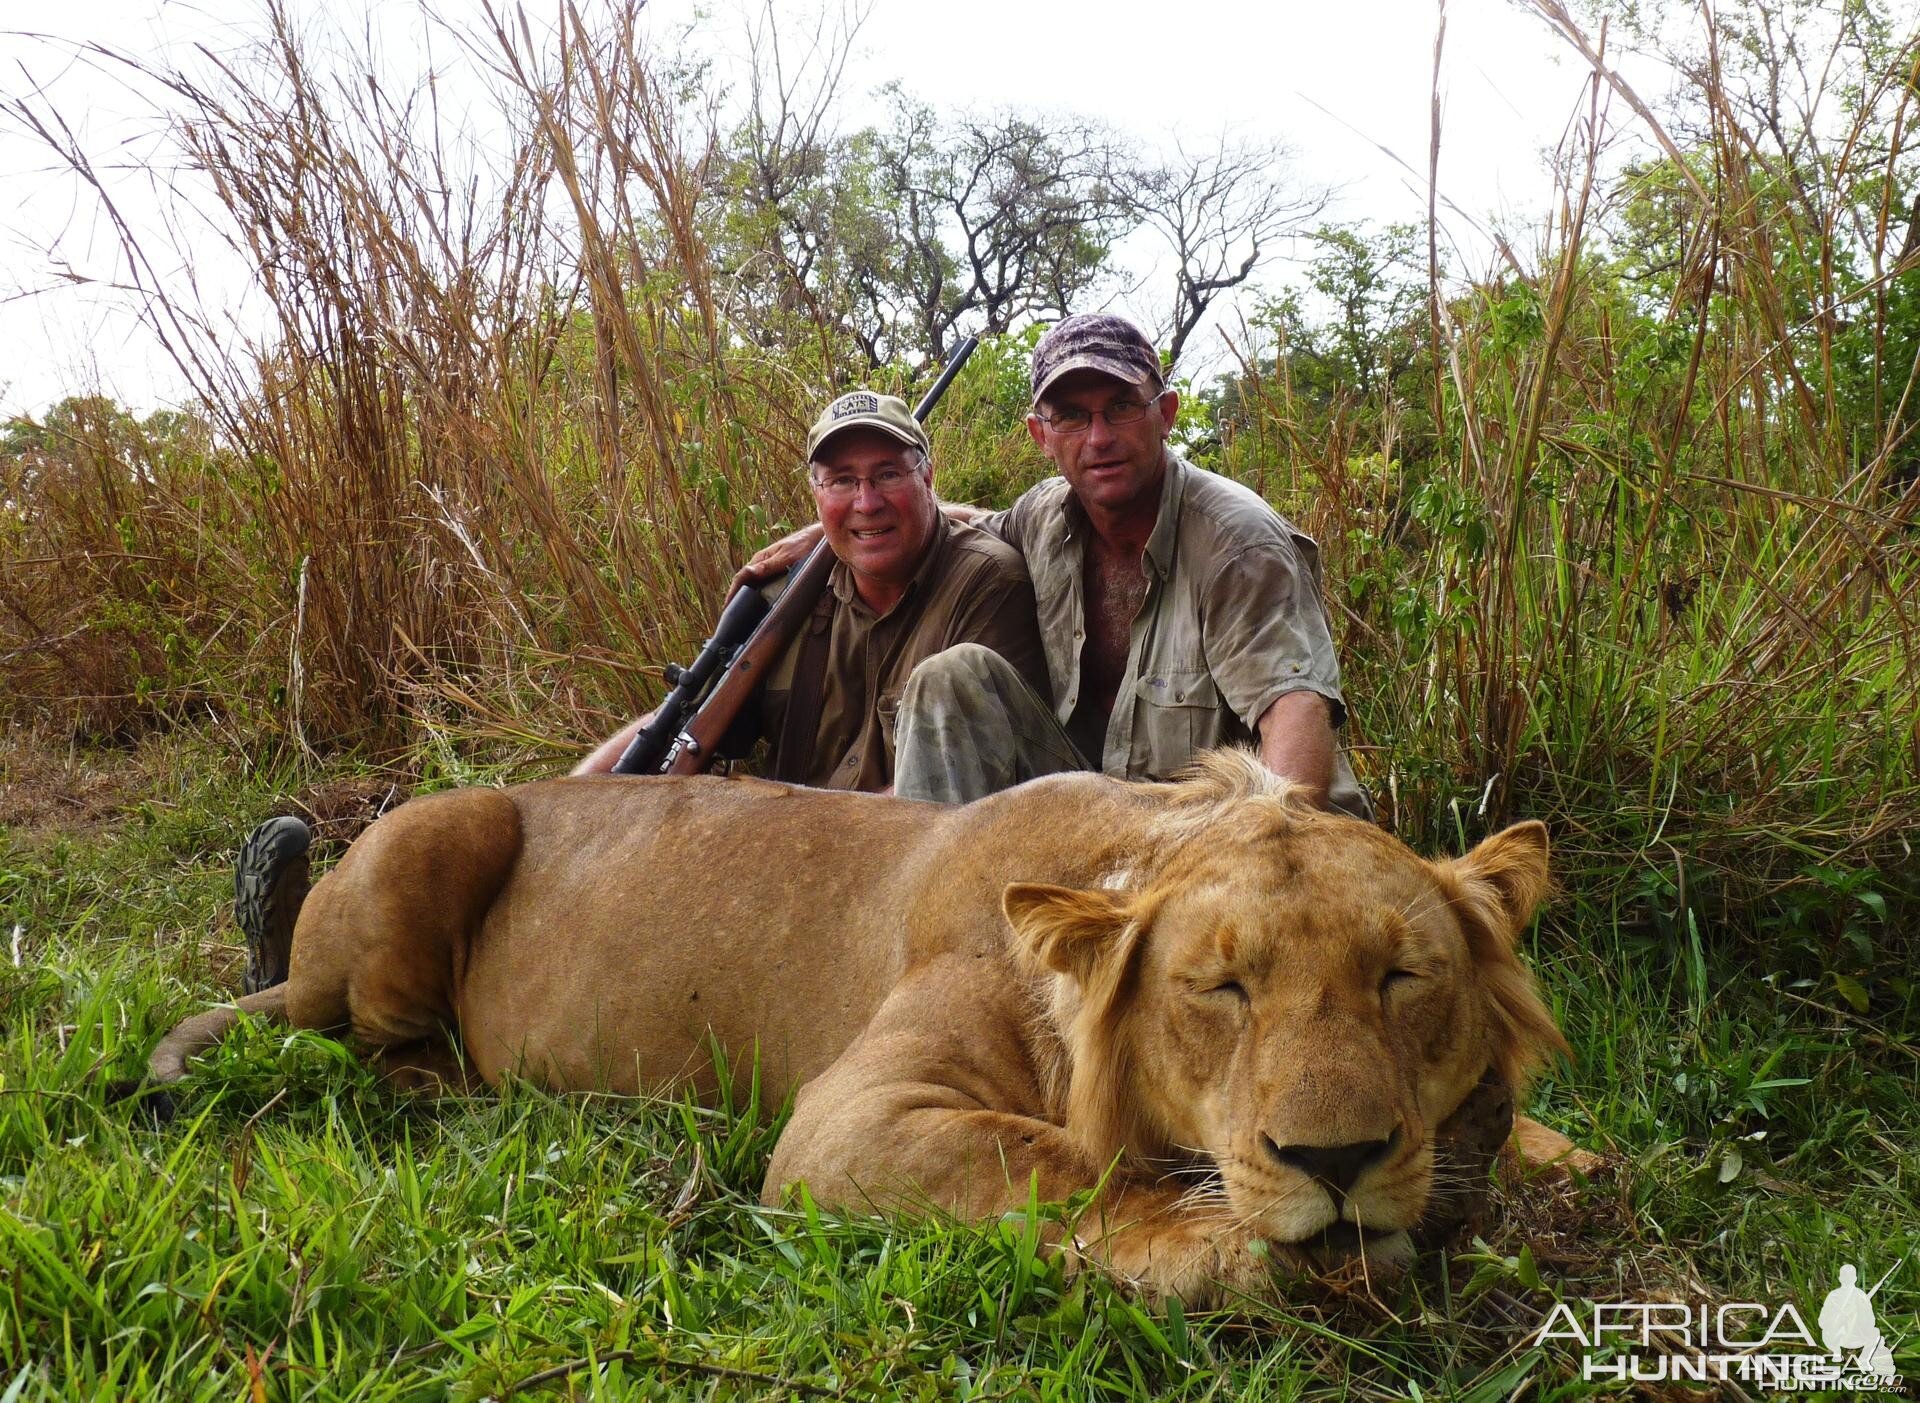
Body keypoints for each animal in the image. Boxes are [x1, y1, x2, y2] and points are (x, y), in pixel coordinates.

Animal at [145, 752, 1559, 1312]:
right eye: (1223, 989)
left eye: (1402, 977)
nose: (1338, 1159)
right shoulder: (846, 1123)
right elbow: (1063, 1161)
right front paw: (1237, 1247)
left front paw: (1543, 1148)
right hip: (443, 831)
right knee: (357, 1036)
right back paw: (458, 1087)